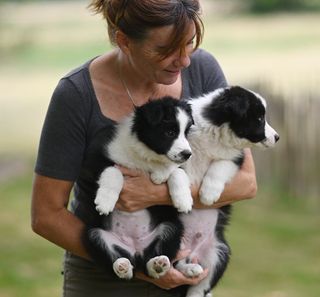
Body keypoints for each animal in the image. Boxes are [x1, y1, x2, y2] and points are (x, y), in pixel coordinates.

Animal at [81, 96, 194, 278]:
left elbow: (177, 172)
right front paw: (105, 202)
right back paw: (122, 266)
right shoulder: (93, 161)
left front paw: (183, 200)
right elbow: (113, 170)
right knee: (121, 265)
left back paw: (157, 265)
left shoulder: (181, 166)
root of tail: (136, 250)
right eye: (170, 132)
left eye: (186, 132)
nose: (187, 154)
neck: (146, 156)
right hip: (94, 235)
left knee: (149, 265)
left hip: (171, 228)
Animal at [172, 85, 280, 296]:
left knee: (201, 284)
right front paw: (183, 200)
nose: (277, 137)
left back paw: (193, 273)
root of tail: (193, 252)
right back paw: (186, 268)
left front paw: (208, 195)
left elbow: (219, 167)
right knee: (174, 263)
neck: (217, 135)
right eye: (259, 118)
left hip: (220, 253)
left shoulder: (235, 159)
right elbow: (177, 173)